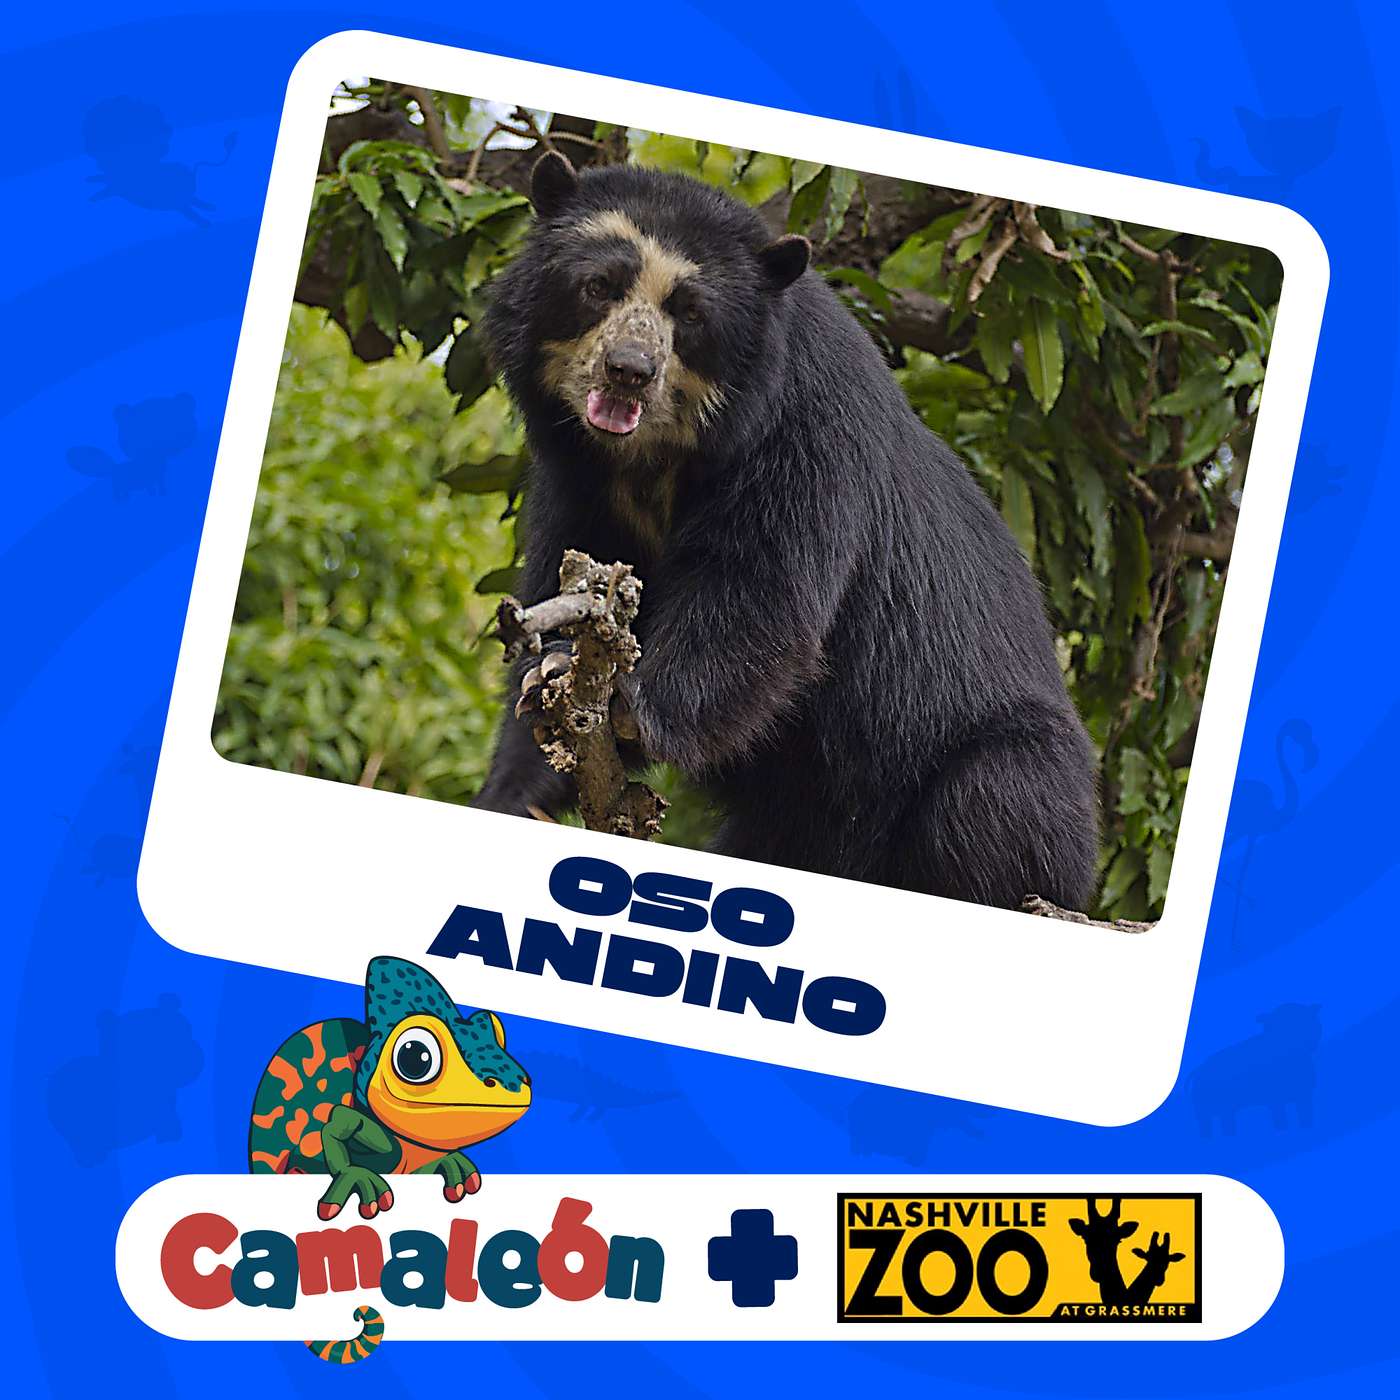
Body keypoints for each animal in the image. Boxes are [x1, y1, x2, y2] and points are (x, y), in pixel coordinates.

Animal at [473, 151, 1098, 912]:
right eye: (597, 288)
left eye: (690, 313)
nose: (628, 372)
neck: (654, 456)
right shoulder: (576, 478)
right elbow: (572, 584)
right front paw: (531, 739)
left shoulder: (803, 431)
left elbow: (758, 593)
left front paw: (628, 707)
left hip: (1001, 768)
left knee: (989, 803)